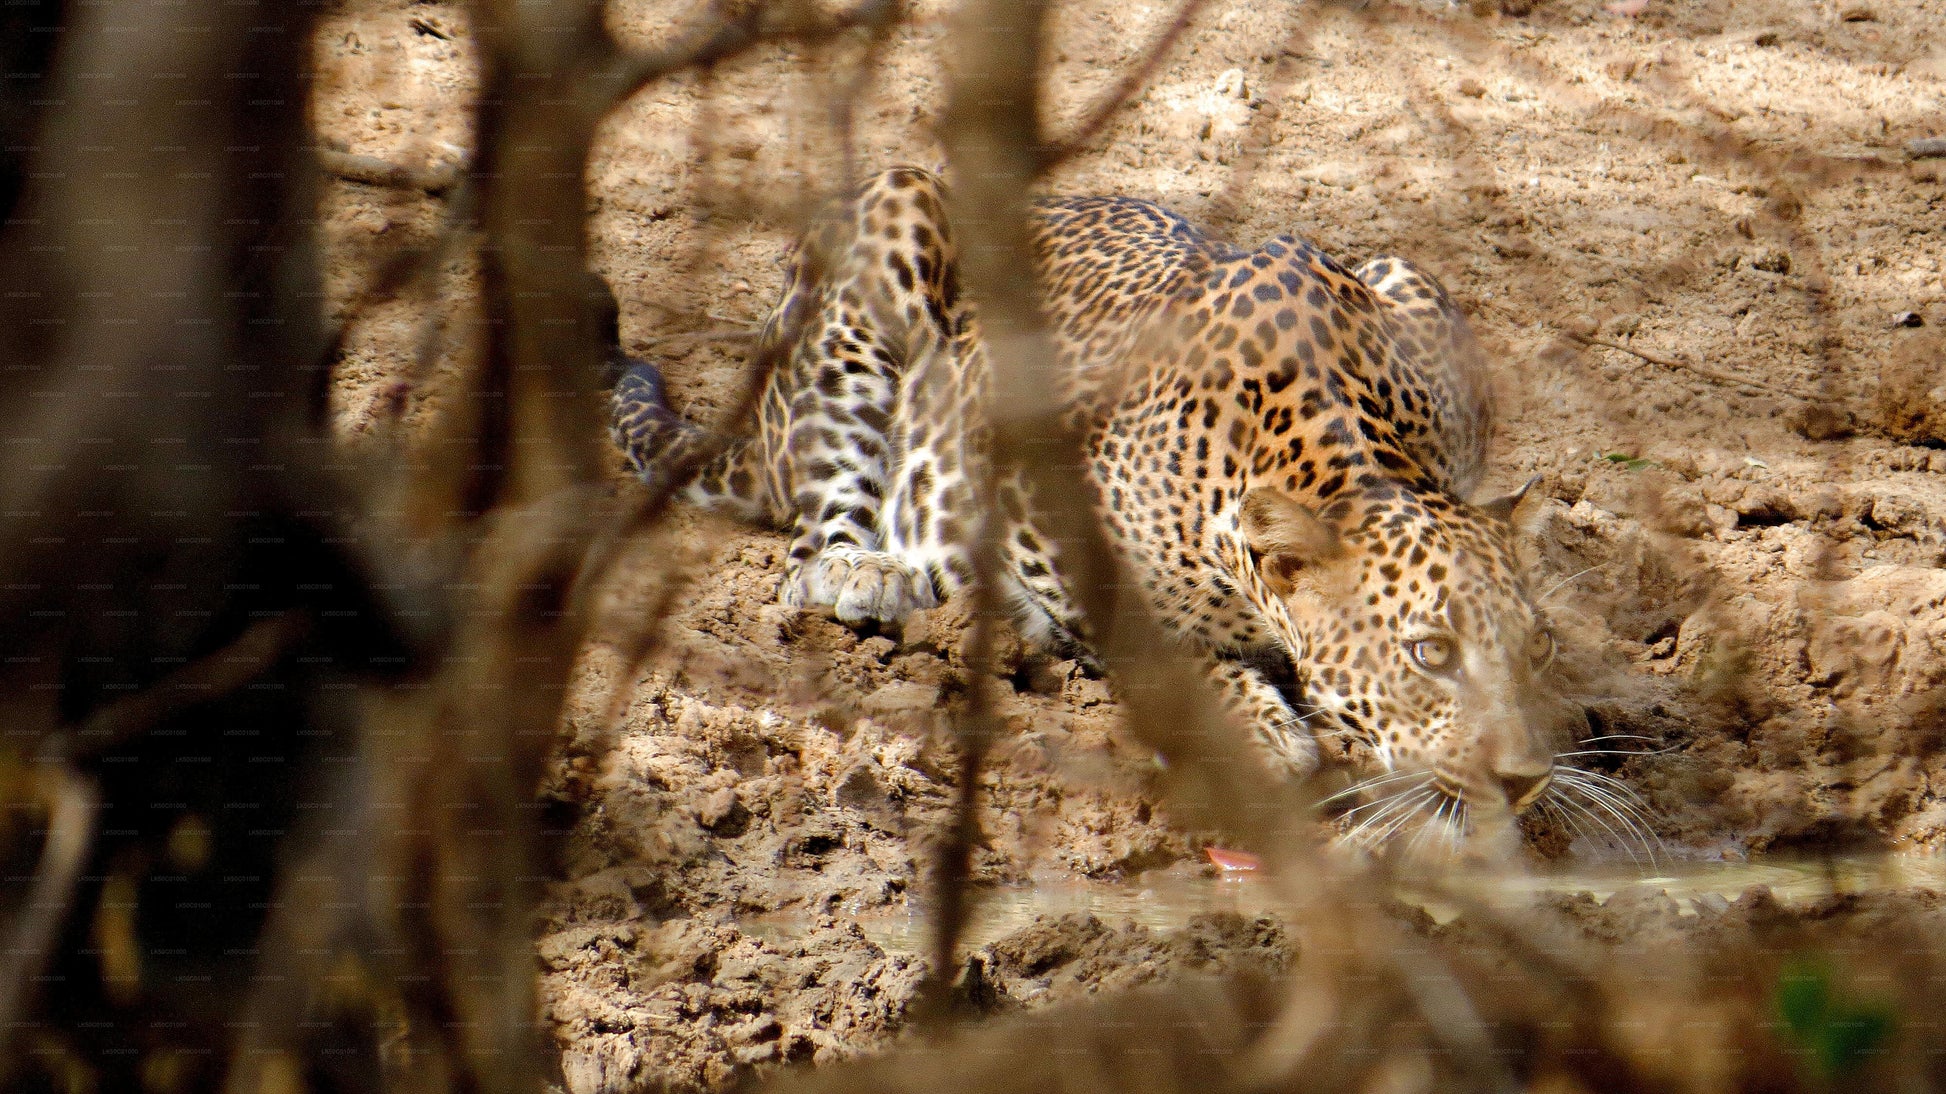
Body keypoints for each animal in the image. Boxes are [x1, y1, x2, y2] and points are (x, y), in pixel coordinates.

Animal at [611, 166, 1609, 853]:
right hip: (886, 221)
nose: (1525, 780)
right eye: (1429, 654)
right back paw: (868, 570)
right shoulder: (1029, 497)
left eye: (1538, 649)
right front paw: (1262, 729)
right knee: (809, 547)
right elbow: (1152, 641)